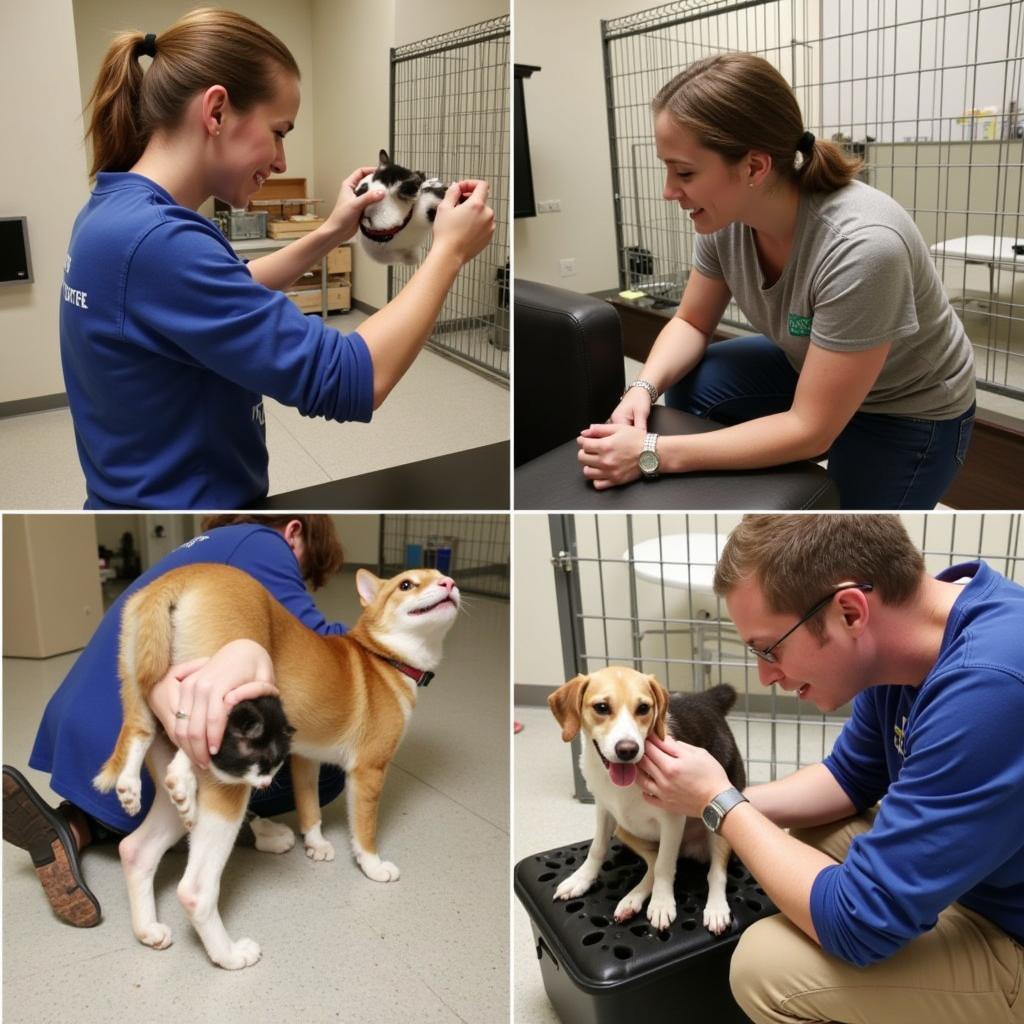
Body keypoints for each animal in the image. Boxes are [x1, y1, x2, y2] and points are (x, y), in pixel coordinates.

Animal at [92, 565, 460, 970]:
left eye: (441, 576)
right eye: (406, 585)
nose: (450, 584)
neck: (383, 658)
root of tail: (181, 576)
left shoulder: (305, 758)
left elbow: (310, 808)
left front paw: (315, 844)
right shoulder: (369, 770)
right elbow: (364, 832)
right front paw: (373, 866)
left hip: (170, 765)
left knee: (136, 847)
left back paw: (148, 923)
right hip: (226, 743)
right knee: (195, 890)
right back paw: (229, 955)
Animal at [548, 663, 741, 937]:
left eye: (643, 708)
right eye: (602, 707)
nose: (627, 750)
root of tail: (706, 698)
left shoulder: (672, 820)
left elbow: (665, 866)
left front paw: (661, 903)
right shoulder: (604, 809)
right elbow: (597, 848)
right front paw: (581, 879)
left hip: (719, 825)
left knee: (714, 872)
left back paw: (715, 908)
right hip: (623, 830)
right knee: (652, 861)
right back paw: (632, 900)